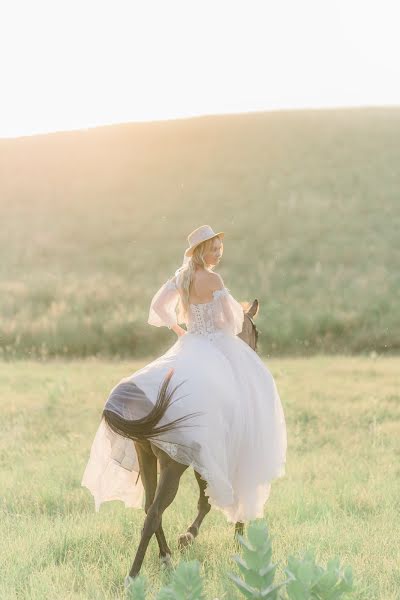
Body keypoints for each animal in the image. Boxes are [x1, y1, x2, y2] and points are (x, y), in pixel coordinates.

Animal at [103, 298, 260, 580]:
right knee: (154, 513)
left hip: (146, 456)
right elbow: (214, 497)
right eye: (257, 333)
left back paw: (166, 558)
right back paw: (134, 575)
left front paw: (188, 537)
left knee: (149, 507)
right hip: (172, 466)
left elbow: (205, 498)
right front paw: (233, 536)